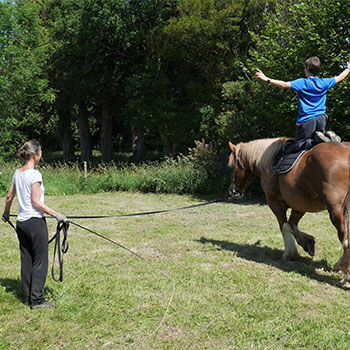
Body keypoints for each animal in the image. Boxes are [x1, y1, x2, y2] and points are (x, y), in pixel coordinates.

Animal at [228, 138, 350, 288]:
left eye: (233, 166)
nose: (233, 191)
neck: (269, 161)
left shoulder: (275, 203)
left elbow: (285, 226)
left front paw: (290, 253)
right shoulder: (300, 204)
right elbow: (293, 224)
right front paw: (308, 243)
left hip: (335, 211)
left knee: (346, 240)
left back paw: (345, 274)